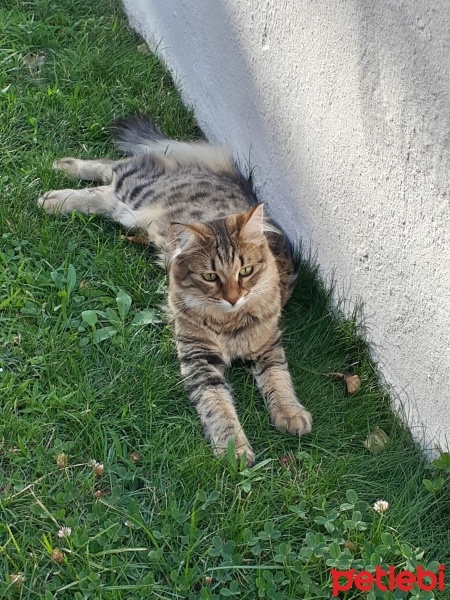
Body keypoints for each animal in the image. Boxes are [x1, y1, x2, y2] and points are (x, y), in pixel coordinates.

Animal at [38, 116, 312, 464]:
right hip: (136, 192)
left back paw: (55, 195)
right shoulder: (199, 358)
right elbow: (218, 407)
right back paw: (60, 175)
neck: (229, 322)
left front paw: (291, 415)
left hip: (124, 209)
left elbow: (280, 382)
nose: (233, 298)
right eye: (210, 276)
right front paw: (234, 451)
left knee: (104, 188)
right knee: (115, 166)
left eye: (246, 272)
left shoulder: (268, 347)